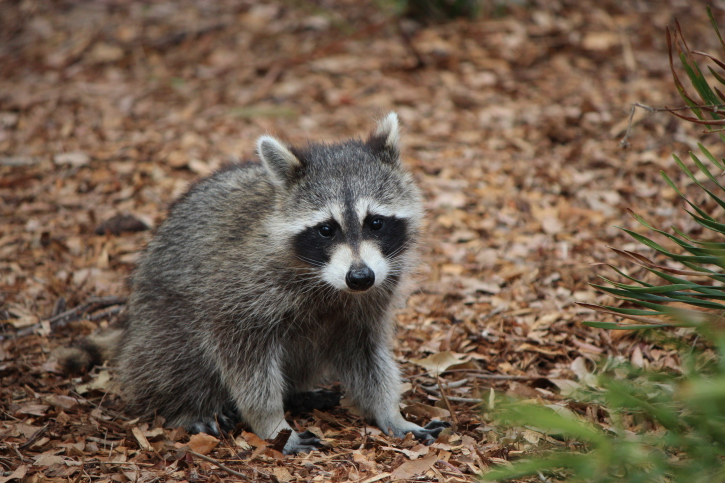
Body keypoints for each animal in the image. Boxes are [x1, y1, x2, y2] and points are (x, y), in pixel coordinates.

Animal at [110, 113, 446, 454]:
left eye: (376, 223)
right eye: (326, 230)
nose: (360, 277)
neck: (327, 281)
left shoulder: (373, 294)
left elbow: (366, 353)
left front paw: (389, 411)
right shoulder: (240, 289)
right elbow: (243, 361)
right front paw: (272, 425)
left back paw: (296, 394)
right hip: (161, 323)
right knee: (177, 356)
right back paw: (185, 407)